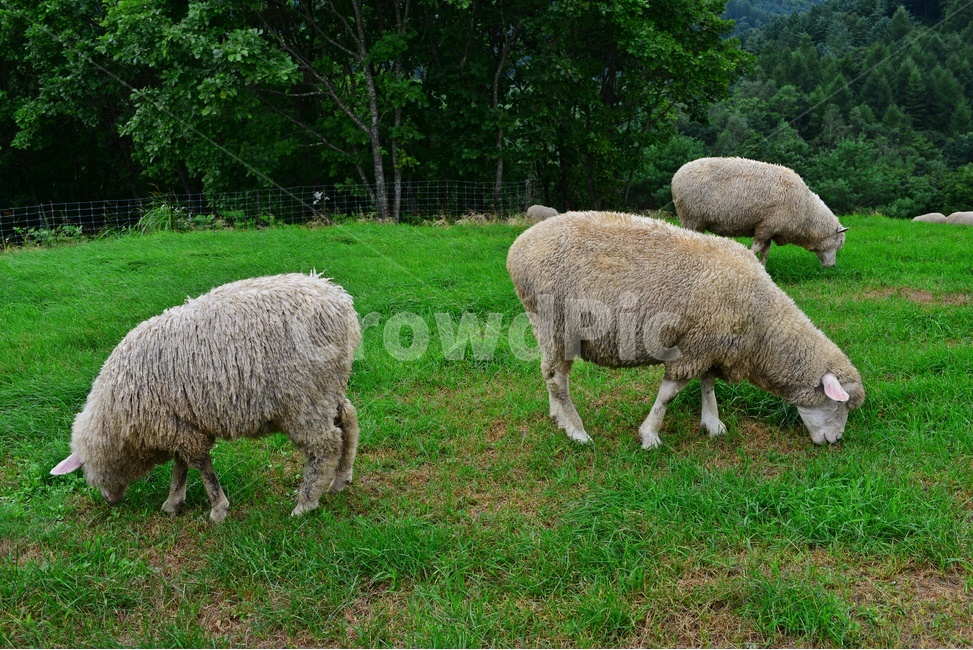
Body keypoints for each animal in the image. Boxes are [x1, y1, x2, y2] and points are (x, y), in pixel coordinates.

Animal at [50, 272, 361, 523]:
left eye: (87, 469)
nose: (109, 500)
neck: (117, 417)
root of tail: (340, 304)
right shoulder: (179, 423)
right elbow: (181, 464)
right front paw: (174, 502)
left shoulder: (173, 425)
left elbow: (200, 464)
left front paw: (217, 509)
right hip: (328, 387)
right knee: (348, 418)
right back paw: (341, 479)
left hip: (304, 397)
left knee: (325, 445)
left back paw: (306, 502)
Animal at [506, 211, 864, 449]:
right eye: (838, 405)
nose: (835, 441)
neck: (761, 326)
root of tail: (519, 246)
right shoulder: (691, 348)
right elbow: (668, 395)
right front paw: (650, 435)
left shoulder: (711, 345)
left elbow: (707, 385)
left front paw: (713, 423)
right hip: (553, 322)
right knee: (557, 378)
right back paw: (577, 432)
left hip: (546, 326)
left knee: (553, 376)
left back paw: (559, 418)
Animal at [671, 157, 848, 267]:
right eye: (839, 242)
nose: (832, 267)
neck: (806, 211)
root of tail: (677, 174)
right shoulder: (766, 227)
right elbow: (755, 249)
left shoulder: (771, 230)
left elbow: (765, 252)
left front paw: (763, 268)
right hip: (691, 218)